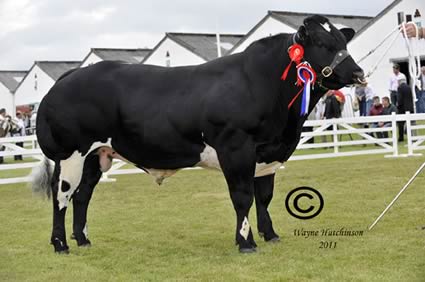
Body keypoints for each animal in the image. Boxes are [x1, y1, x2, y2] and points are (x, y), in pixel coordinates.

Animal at [32, 15, 364, 253]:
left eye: (342, 41)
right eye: (321, 42)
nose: (358, 73)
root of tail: (71, 75)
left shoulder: (267, 153)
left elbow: (264, 197)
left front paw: (270, 235)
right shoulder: (236, 148)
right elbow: (242, 196)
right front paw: (246, 242)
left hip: (96, 155)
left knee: (82, 196)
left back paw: (83, 240)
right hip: (70, 154)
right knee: (62, 196)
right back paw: (60, 244)